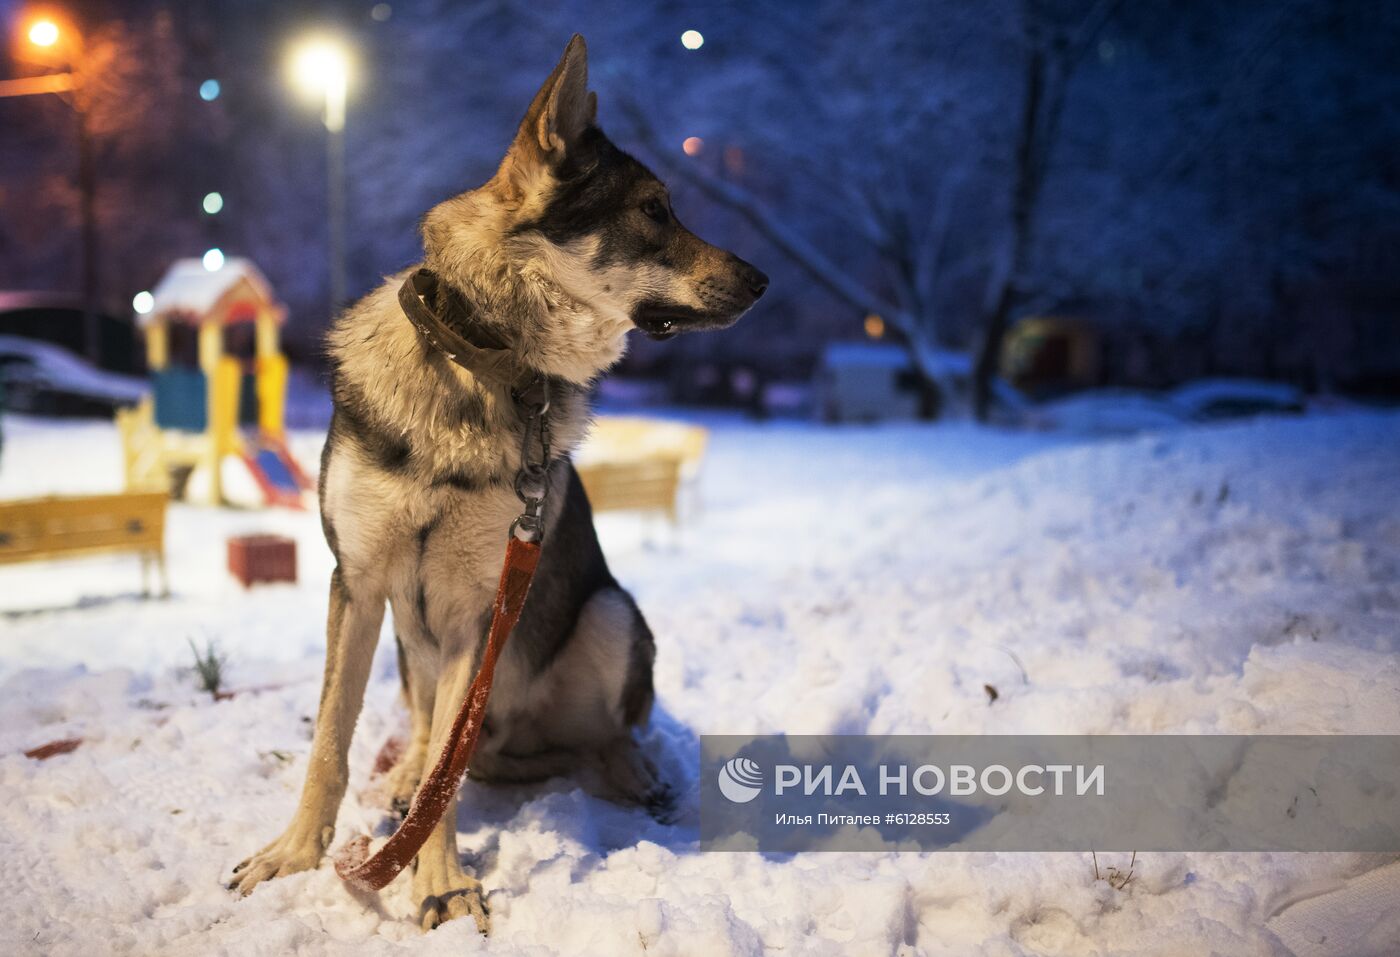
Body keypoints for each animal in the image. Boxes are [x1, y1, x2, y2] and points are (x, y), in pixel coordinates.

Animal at [235, 33, 772, 929]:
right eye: (655, 210)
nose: (765, 280)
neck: (483, 363)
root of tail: (517, 738)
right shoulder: (360, 582)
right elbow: (330, 742)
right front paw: (297, 854)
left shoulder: (474, 610)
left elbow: (442, 790)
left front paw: (441, 882)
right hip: (419, 644)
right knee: (435, 736)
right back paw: (406, 772)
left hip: (610, 612)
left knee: (596, 736)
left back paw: (630, 773)